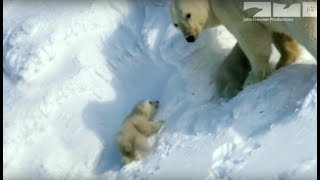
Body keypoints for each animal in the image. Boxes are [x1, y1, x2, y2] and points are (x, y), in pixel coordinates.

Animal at [169, 0, 316, 86]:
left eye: (188, 15)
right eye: (176, 25)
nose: (189, 37)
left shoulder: (231, 9)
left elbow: (251, 36)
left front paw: (253, 78)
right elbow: (278, 33)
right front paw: (283, 61)